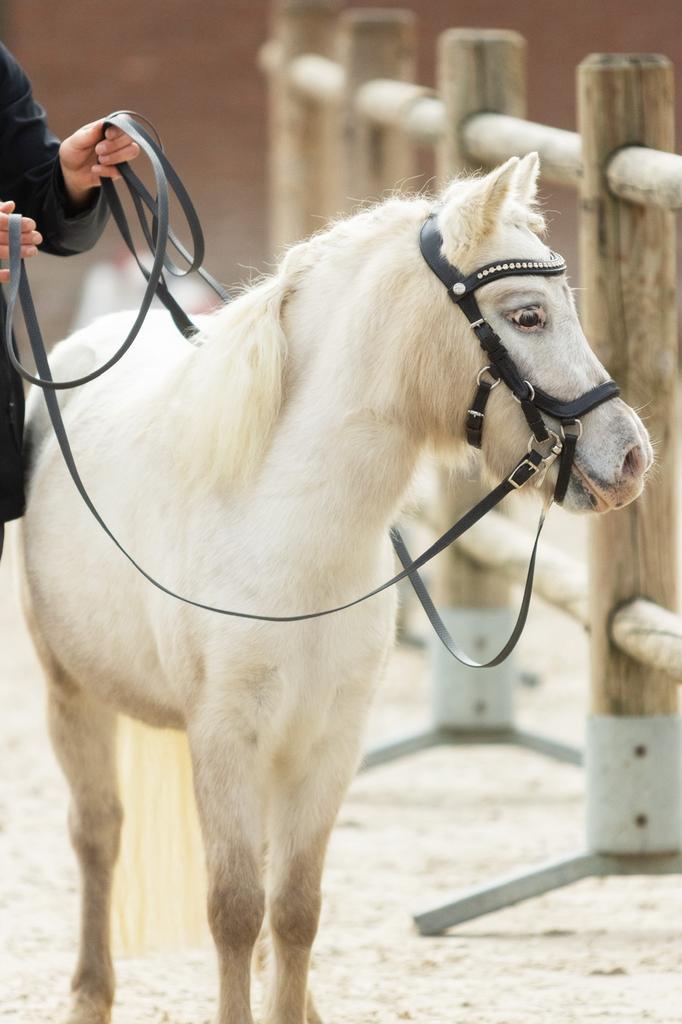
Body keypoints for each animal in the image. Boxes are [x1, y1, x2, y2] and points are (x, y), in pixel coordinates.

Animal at [18, 153, 652, 1024]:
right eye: (526, 317)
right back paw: (89, 995)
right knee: (97, 835)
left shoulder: (328, 740)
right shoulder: (225, 735)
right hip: (69, 692)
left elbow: (293, 908)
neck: (289, 532)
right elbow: (233, 907)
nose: (630, 458)